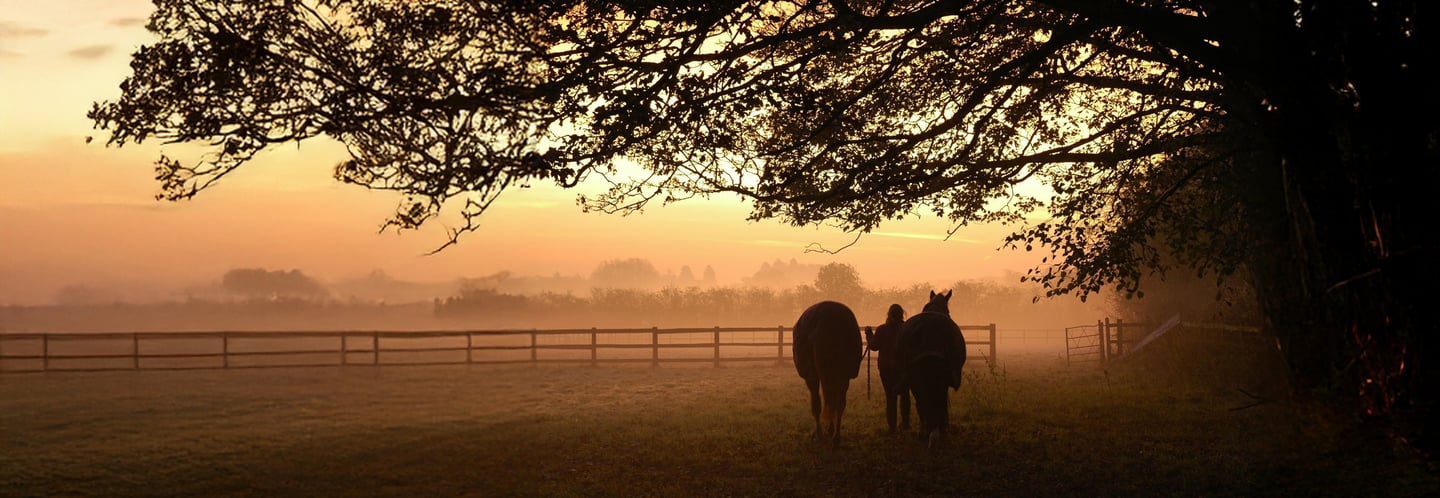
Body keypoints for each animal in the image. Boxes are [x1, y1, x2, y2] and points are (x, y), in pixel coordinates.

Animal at [792, 301, 864, 447]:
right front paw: (831, 430)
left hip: (813, 376)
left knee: (819, 403)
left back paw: (822, 435)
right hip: (840, 376)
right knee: (837, 402)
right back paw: (835, 437)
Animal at [897, 290, 967, 448]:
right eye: (948, 310)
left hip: (915, 375)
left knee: (921, 401)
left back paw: (925, 431)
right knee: (937, 399)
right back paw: (935, 433)